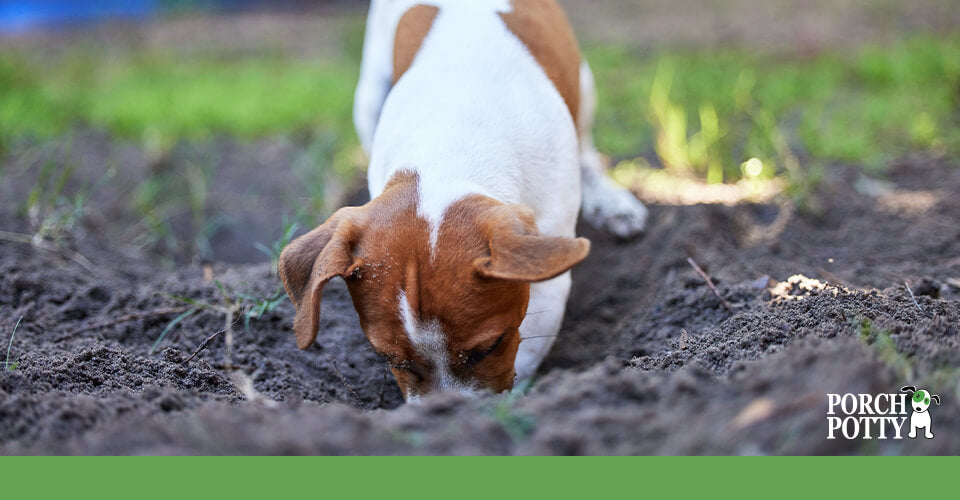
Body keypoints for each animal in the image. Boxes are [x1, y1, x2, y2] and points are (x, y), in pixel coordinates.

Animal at [282, 0, 648, 400]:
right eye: (391, 360)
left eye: (489, 347)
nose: (445, 411)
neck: (451, 143)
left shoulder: (549, 278)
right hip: (368, 95)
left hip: (584, 85)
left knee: (587, 146)